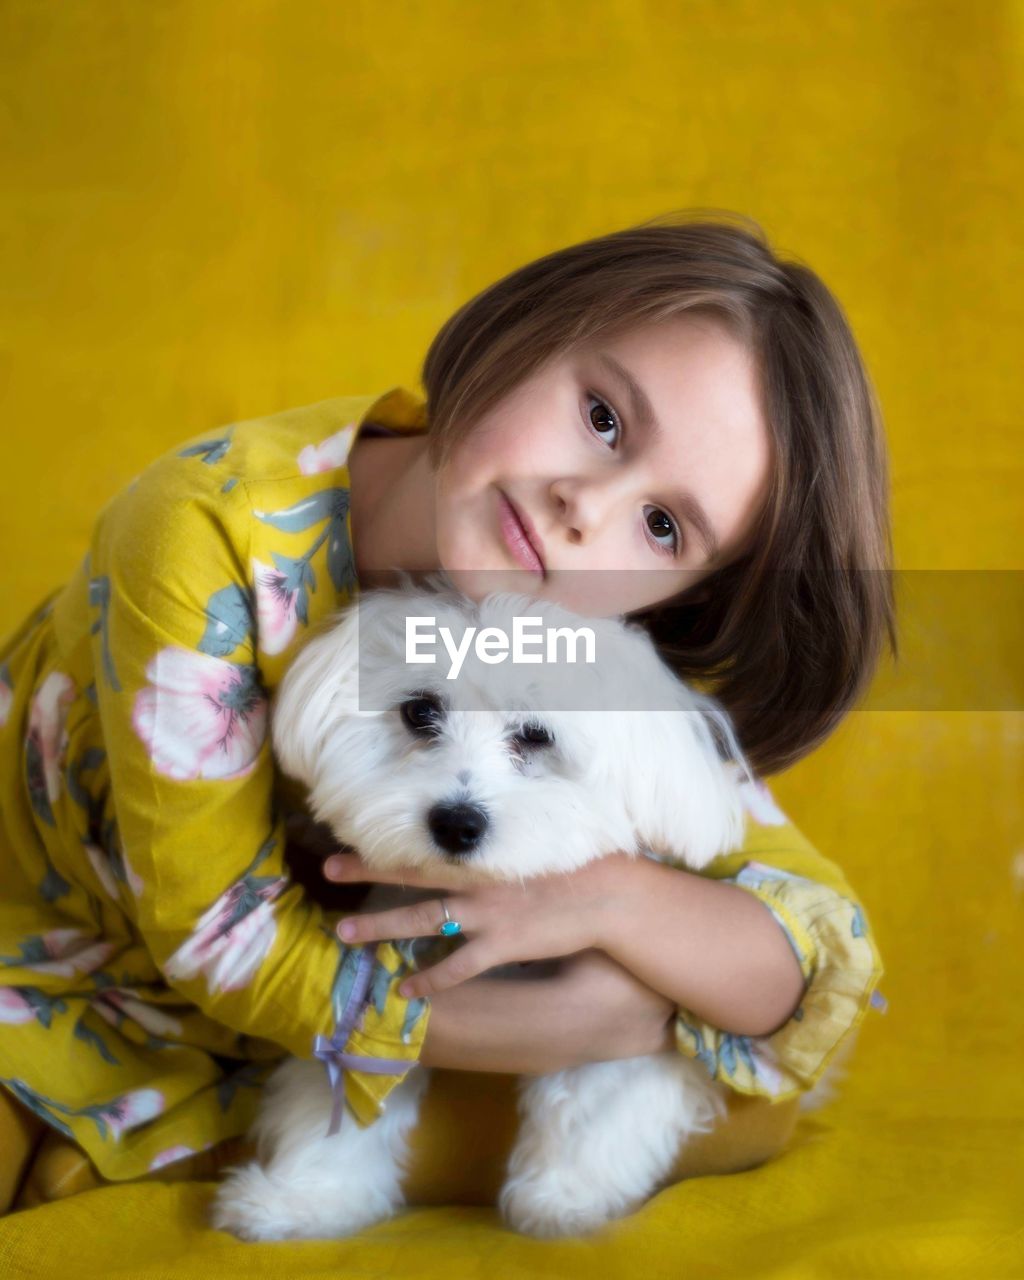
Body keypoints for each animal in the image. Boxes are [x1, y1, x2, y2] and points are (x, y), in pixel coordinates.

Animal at [212, 576, 762, 1233]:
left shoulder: (622, 1009)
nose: (457, 823)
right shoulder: (374, 986)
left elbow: (594, 1100)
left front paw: (565, 1200)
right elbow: (344, 1096)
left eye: (537, 735)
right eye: (420, 712)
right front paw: (304, 1198)